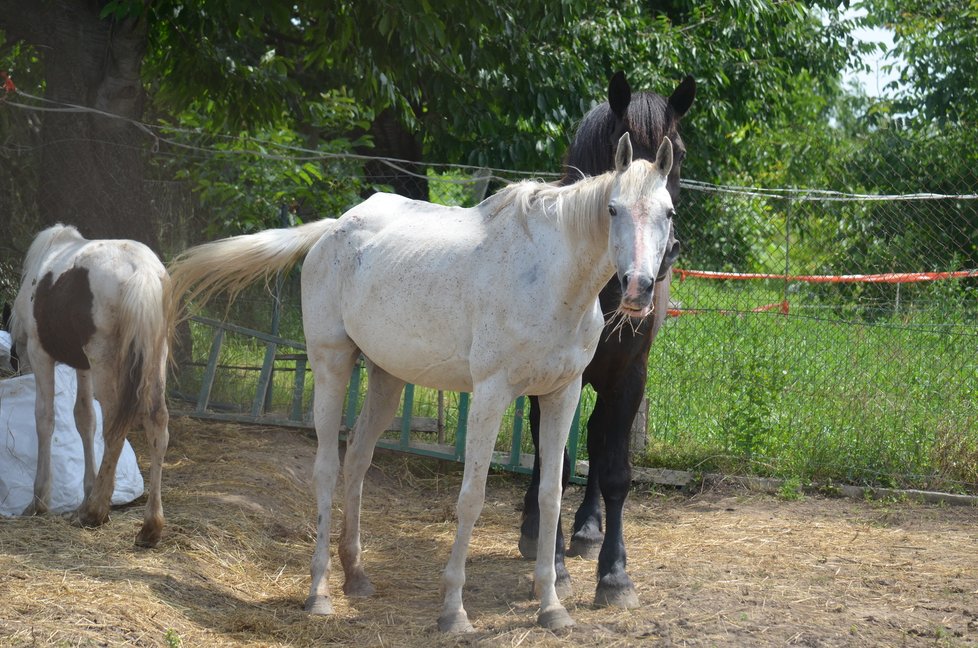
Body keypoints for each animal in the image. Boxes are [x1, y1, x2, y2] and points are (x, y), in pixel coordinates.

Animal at [9, 224, 172, 548]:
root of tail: (142, 271)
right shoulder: (82, 366)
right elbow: (85, 419)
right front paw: (85, 491)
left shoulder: (40, 354)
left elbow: (45, 419)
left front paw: (40, 500)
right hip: (153, 360)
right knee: (157, 426)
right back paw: (149, 527)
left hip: (105, 362)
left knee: (115, 430)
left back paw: (95, 512)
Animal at [166, 133, 672, 632]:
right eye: (613, 209)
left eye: (668, 212)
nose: (638, 289)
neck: (551, 281)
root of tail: (333, 229)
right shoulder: (492, 395)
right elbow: (472, 497)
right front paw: (453, 610)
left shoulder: (560, 394)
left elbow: (550, 495)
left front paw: (551, 606)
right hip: (331, 363)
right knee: (327, 468)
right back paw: (319, 593)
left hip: (387, 379)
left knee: (358, 458)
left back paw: (356, 575)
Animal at [520, 72, 692, 608]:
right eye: (622, 148)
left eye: (677, 152)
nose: (660, 260)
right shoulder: (551, 378)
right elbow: (553, 463)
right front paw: (551, 563)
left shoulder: (628, 376)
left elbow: (614, 467)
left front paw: (614, 573)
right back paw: (534, 528)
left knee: (597, 442)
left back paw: (588, 528)